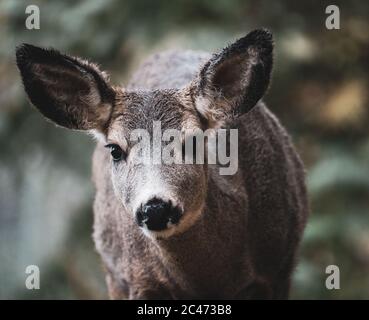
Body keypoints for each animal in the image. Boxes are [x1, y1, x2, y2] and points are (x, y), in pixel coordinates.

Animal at [15, 28, 308, 298]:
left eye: (193, 141)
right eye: (115, 150)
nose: (155, 208)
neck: (209, 283)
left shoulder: (276, 270)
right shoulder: (141, 281)